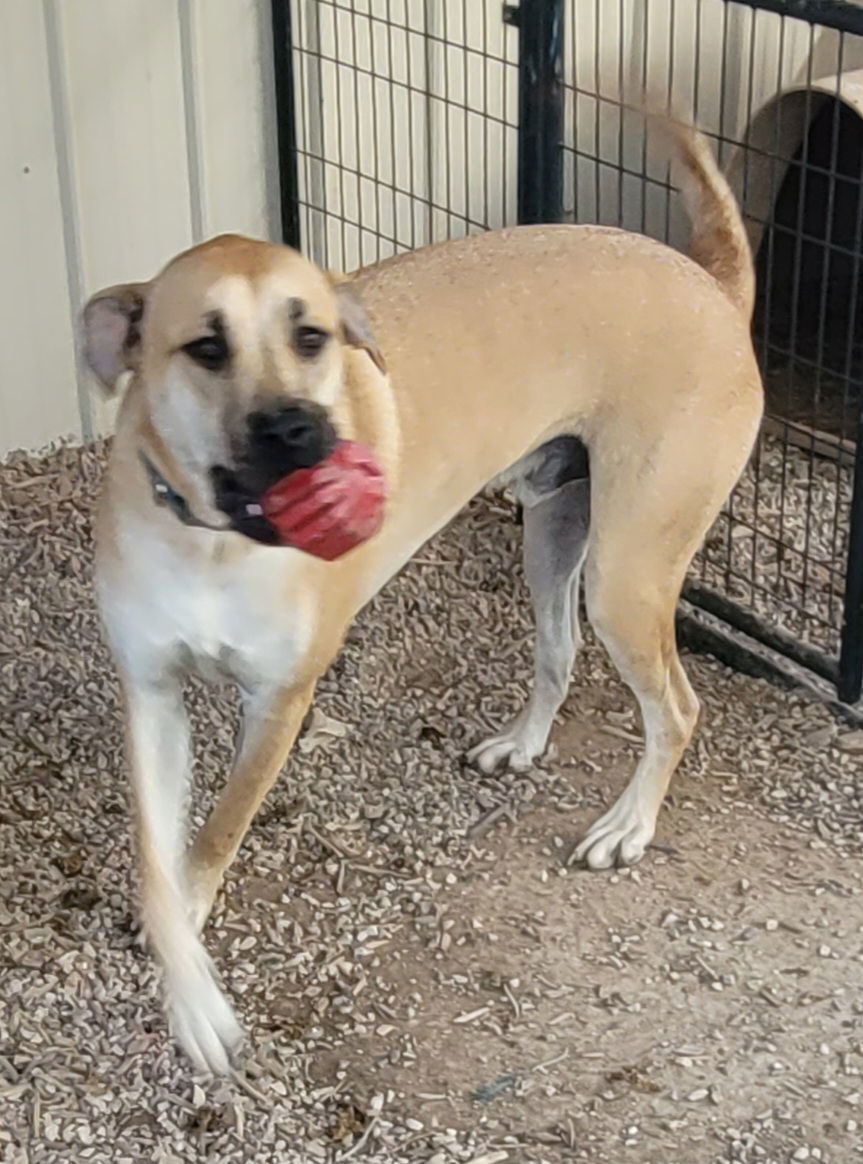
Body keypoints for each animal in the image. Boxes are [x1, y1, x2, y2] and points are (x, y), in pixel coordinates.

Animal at [82, 120, 759, 1070]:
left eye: (313, 338)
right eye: (206, 347)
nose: (301, 430)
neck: (214, 543)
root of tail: (713, 286)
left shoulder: (279, 703)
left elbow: (215, 834)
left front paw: (197, 967)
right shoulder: (150, 694)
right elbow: (156, 856)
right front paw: (185, 981)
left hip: (623, 576)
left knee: (678, 708)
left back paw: (627, 826)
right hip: (554, 537)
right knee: (559, 654)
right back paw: (521, 744)